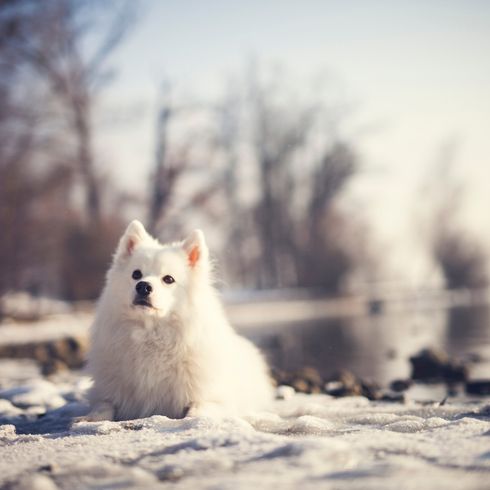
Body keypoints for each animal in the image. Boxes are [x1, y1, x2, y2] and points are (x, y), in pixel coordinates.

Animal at [87, 220, 272, 420]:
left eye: (168, 279)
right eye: (136, 274)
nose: (143, 286)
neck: (150, 335)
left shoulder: (214, 400)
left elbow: (195, 412)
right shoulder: (106, 393)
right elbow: (103, 407)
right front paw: (88, 418)